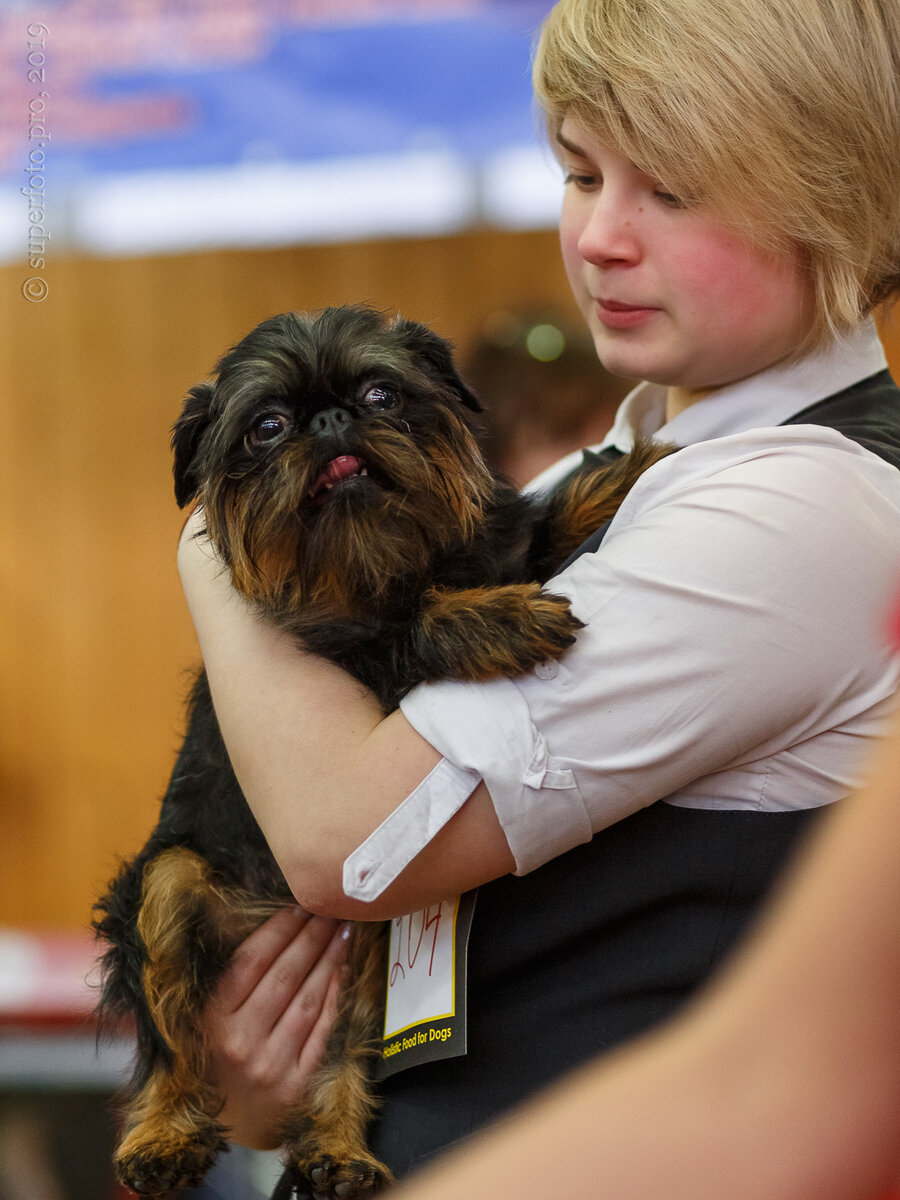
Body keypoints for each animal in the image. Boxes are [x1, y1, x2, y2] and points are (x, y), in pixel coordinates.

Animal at [93, 304, 672, 1195]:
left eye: (380, 394)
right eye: (267, 427)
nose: (332, 421)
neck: (379, 566)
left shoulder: (500, 546)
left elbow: (546, 519)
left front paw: (637, 461)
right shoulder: (352, 654)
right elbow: (420, 624)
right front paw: (498, 616)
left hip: (368, 936)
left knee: (351, 1044)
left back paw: (334, 1147)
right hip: (168, 885)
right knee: (173, 1042)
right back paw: (162, 1135)